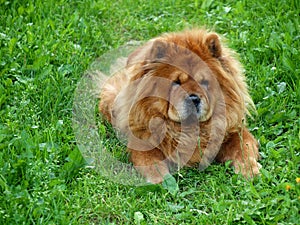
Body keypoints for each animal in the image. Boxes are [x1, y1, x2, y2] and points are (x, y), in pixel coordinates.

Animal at [99, 29, 262, 184]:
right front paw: (161, 181)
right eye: (176, 82)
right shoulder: (143, 141)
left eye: (204, 82)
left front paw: (249, 171)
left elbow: (243, 148)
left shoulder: (234, 131)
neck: (189, 130)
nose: (194, 98)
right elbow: (151, 162)